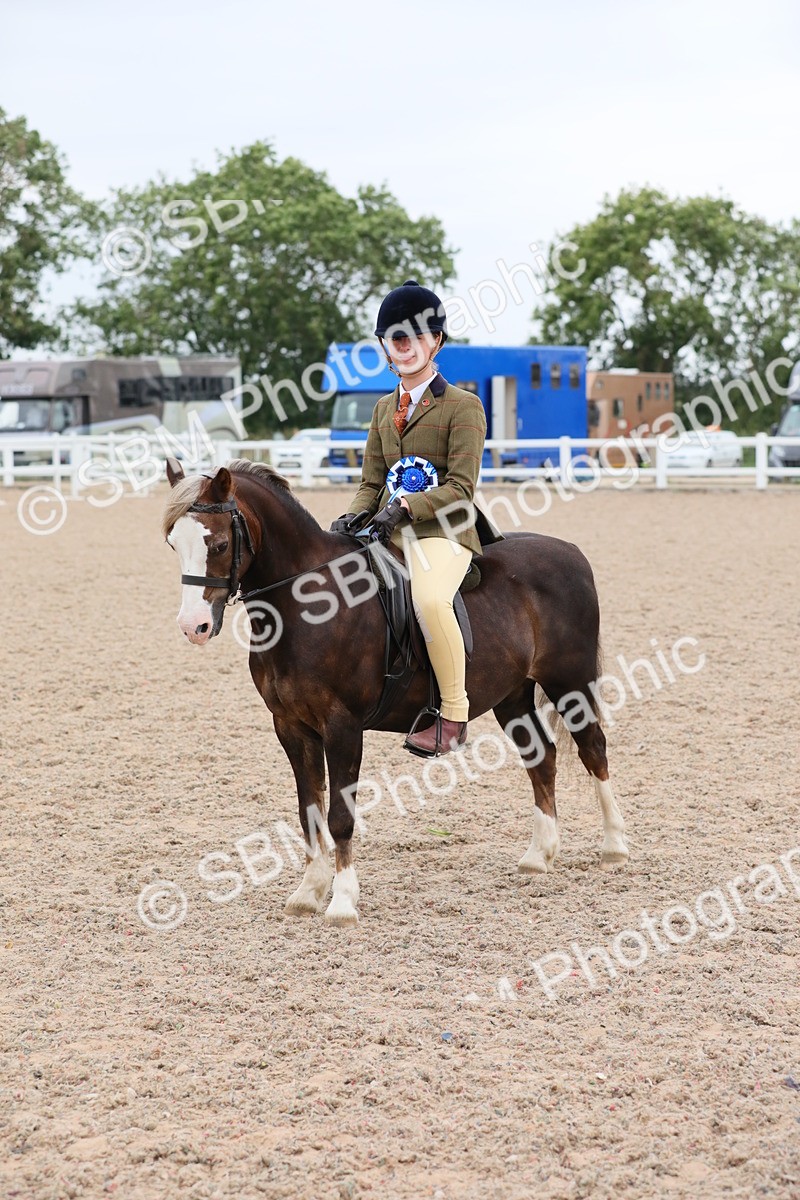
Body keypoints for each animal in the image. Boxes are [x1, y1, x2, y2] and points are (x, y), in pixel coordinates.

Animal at [162, 458, 629, 926]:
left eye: (220, 543)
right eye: (172, 543)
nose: (192, 626)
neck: (308, 603)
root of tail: (571, 552)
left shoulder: (343, 727)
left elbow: (340, 817)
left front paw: (342, 902)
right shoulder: (291, 726)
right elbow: (308, 811)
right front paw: (308, 892)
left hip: (569, 681)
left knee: (593, 749)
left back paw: (614, 847)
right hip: (512, 696)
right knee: (542, 757)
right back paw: (539, 855)